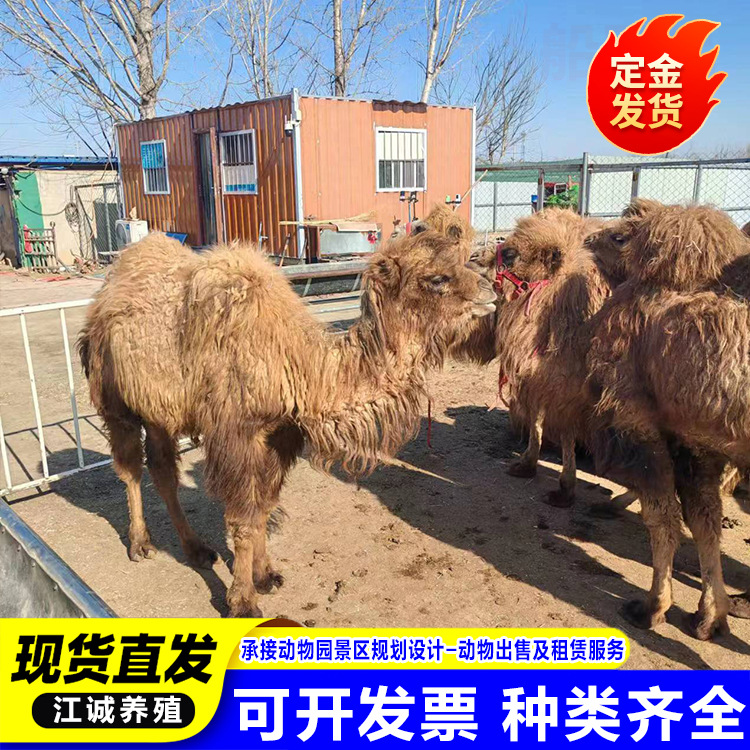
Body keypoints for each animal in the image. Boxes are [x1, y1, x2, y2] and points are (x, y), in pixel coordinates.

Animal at [79, 230, 496, 617]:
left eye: (463, 260)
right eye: (437, 277)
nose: (490, 288)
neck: (300, 366)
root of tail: (106, 286)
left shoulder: (279, 434)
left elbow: (264, 507)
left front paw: (265, 576)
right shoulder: (236, 435)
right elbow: (243, 519)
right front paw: (242, 601)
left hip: (158, 411)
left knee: (164, 470)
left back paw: (196, 550)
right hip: (113, 394)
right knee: (130, 468)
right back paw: (140, 544)